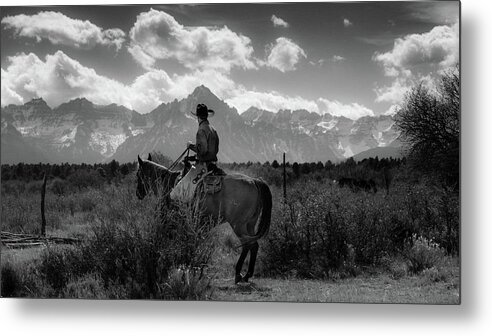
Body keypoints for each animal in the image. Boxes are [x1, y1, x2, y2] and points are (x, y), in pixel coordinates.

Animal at [135, 154, 272, 284]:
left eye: (137, 175)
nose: (138, 194)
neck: (168, 184)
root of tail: (254, 181)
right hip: (250, 224)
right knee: (254, 245)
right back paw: (247, 274)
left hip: (238, 225)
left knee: (247, 245)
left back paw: (238, 274)